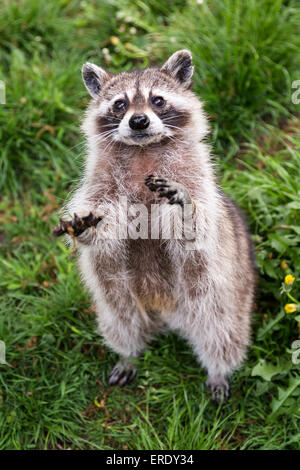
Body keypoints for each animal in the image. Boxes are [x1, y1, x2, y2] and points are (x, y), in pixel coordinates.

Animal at [61, 49, 255, 400]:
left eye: (158, 100)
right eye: (120, 104)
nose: (138, 121)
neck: (143, 150)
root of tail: (167, 317)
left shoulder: (196, 178)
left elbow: (199, 226)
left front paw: (186, 209)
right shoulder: (100, 185)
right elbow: (100, 228)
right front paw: (88, 229)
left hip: (225, 296)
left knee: (222, 331)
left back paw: (219, 368)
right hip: (118, 298)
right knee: (121, 319)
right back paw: (129, 352)